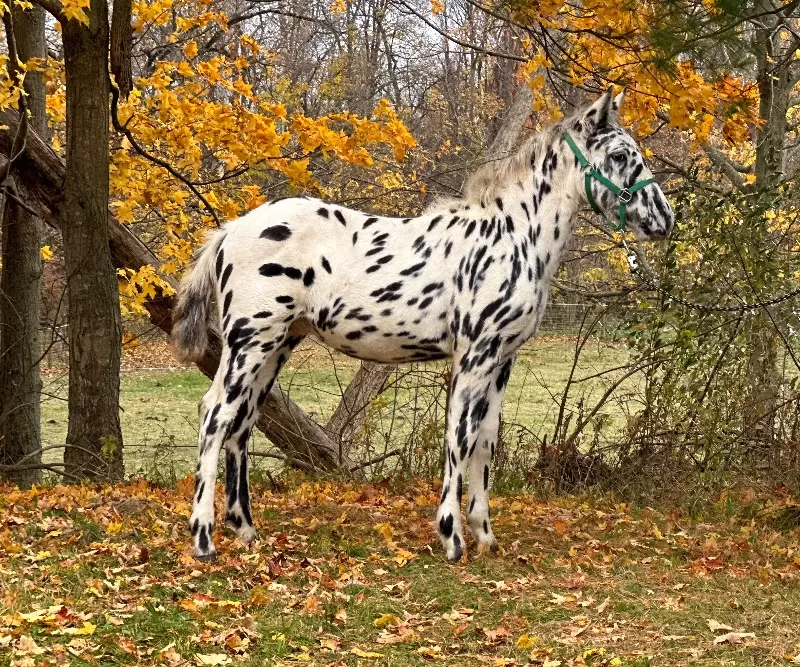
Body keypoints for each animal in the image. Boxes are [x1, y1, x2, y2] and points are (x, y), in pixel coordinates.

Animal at [172, 88, 675, 562]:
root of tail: (231, 230)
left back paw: (246, 531)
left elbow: (486, 442)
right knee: (215, 416)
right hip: (249, 344)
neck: (512, 236)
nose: (664, 219)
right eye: (619, 156)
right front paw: (452, 537)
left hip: (276, 347)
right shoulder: (474, 357)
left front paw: (485, 536)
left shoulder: (501, 361)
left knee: (242, 424)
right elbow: (460, 437)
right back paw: (204, 539)